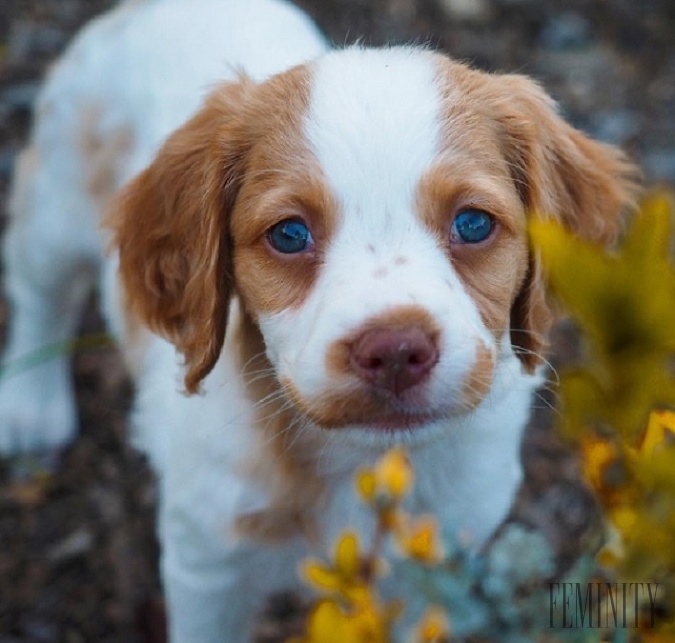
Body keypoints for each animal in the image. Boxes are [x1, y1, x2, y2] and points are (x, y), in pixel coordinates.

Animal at [0, 0, 636, 640]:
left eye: (474, 223)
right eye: (289, 234)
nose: (395, 350)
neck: (358, 462)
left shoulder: (427, 573)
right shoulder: (207, 564)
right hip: (54, 205)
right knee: (39, 292)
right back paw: (32, 406)